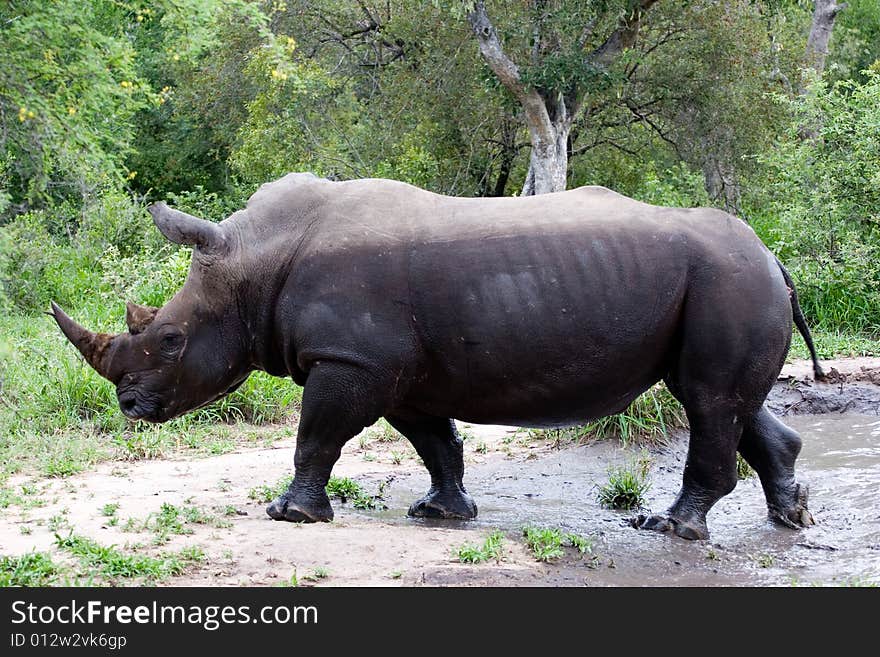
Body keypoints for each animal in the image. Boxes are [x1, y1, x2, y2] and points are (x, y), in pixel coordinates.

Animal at [51, 173, 824, 540]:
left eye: (171, 340)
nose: (129, 405)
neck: (252, 263)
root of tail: (774, 257)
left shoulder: (353, 360)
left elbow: (317, 434)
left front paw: (290, 515)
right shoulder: (395, 371)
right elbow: (434, 441)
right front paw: (442, 513)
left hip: (729, 279)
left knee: (709, 400)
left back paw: (672, 528)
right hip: (728, 282)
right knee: (725, 400)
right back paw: (789, 517)